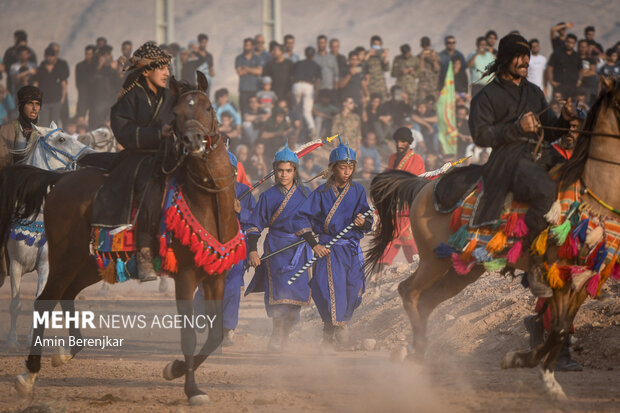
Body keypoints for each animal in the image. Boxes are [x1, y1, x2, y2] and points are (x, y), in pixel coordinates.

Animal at [4, 121, 94, 348]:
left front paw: (32, 338)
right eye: (61, 139)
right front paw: (11, 339)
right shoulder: (15, 264)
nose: (91, 154)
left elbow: (40, 303)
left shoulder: (46, 265)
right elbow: (15, 304)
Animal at [368, 75, 620, 398]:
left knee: (426, 301)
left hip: (462, 270)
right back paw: (417, 352)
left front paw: (545, 376)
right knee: (408, 291)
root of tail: (424, 186)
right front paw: (525, 361)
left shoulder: (582, 276)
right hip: (433, 261)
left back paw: (417, 355)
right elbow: (559, 328)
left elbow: (562, 329)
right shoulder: (560, 273)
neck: (591, 194)